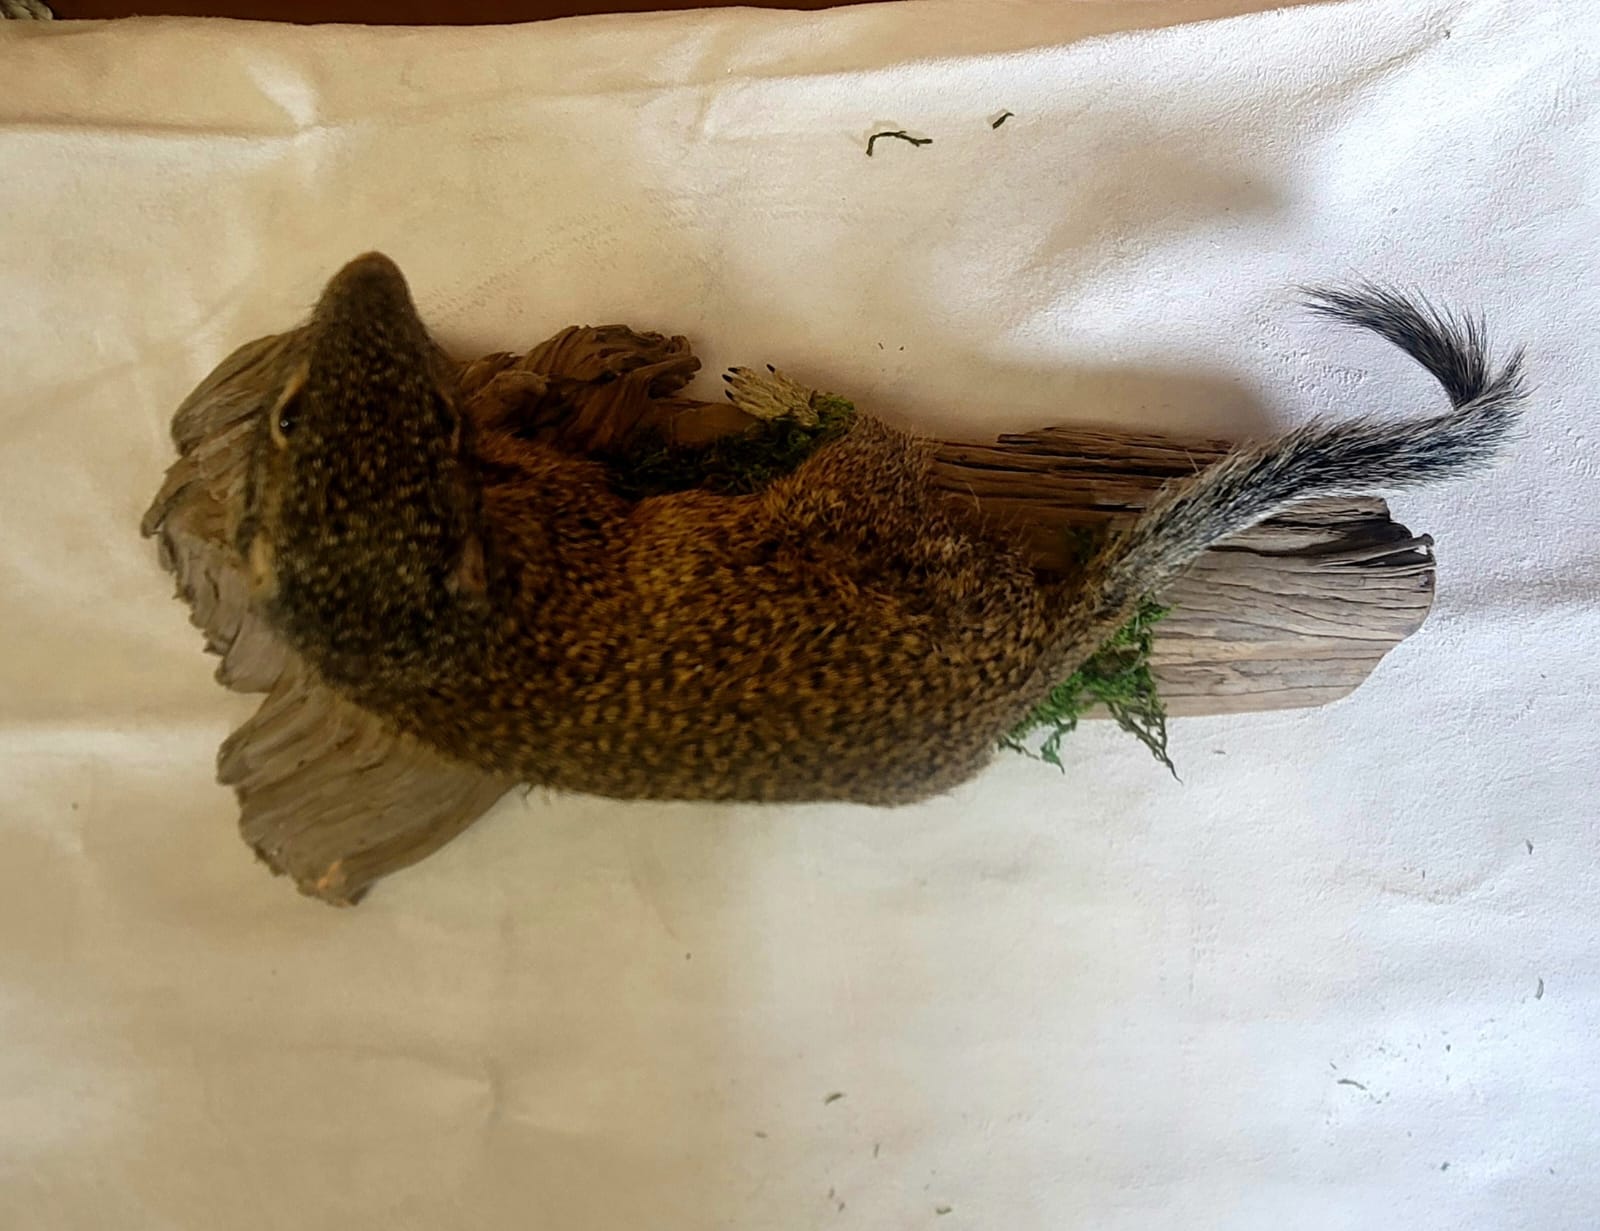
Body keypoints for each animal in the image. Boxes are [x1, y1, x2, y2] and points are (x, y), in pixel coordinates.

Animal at [188, 252, 1527, 808]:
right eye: (295, 412)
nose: (368, 262)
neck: (413, 646)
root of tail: (1021, 664)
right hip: (860, 507)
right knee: (876, 445)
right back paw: (792, 400)